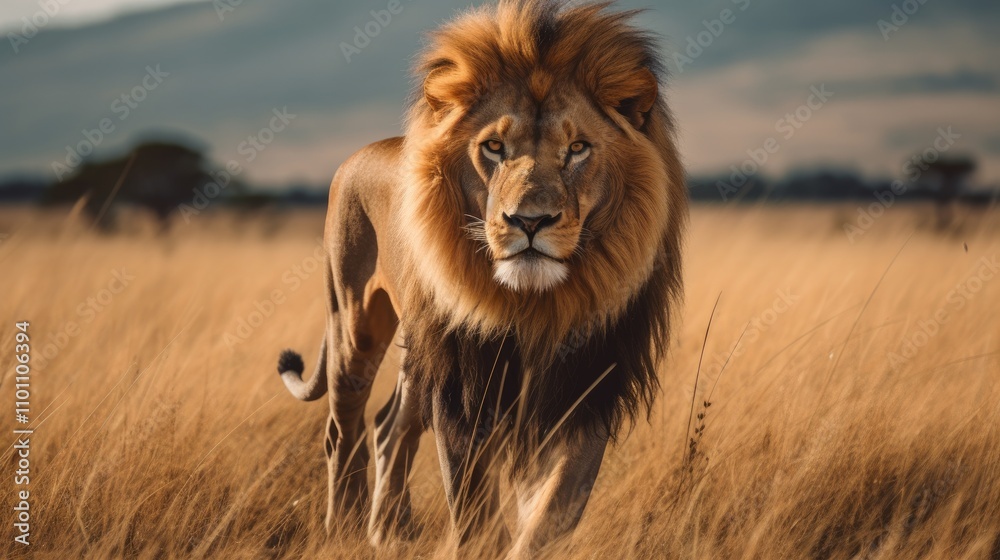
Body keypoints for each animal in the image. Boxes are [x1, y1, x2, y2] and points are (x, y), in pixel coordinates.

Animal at [276, 0, 687, 556]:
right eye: (494, 147)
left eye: (578, 148)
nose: (530, 222)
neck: (537, 304)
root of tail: (357, 155)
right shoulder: (462, 386)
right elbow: (474, 511)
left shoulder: (582, 390)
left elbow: (552, 511)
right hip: (353, 324)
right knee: (343, 432)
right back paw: (342, 531)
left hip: (416, 352)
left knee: (389, 429)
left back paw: (389, 532)